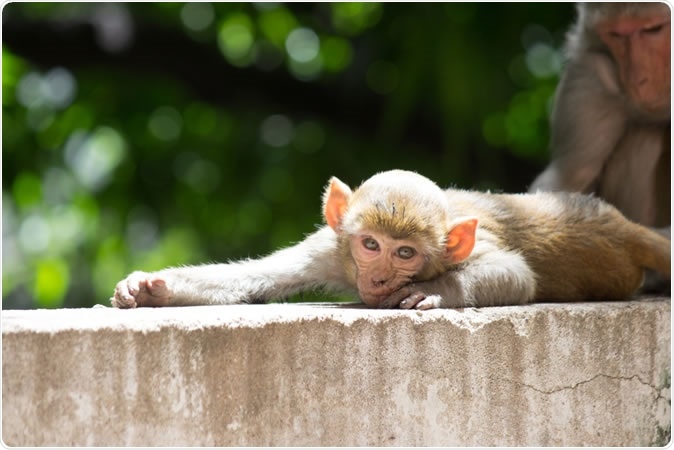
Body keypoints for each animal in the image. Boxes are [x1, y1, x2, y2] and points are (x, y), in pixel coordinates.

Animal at [112, 170, 670, 310]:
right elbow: (257, 276)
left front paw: (433, 291)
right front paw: (152, 288)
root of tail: (619, 223)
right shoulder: (332, 248)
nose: (380, 278)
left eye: (405, 253)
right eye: (370, 246)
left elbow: (516, 275)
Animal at [529, 3, 671, 234]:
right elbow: (567, 179)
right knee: (645, 138)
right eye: (615, 34)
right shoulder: (589, 74)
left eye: (653, 29)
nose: (637, 79)